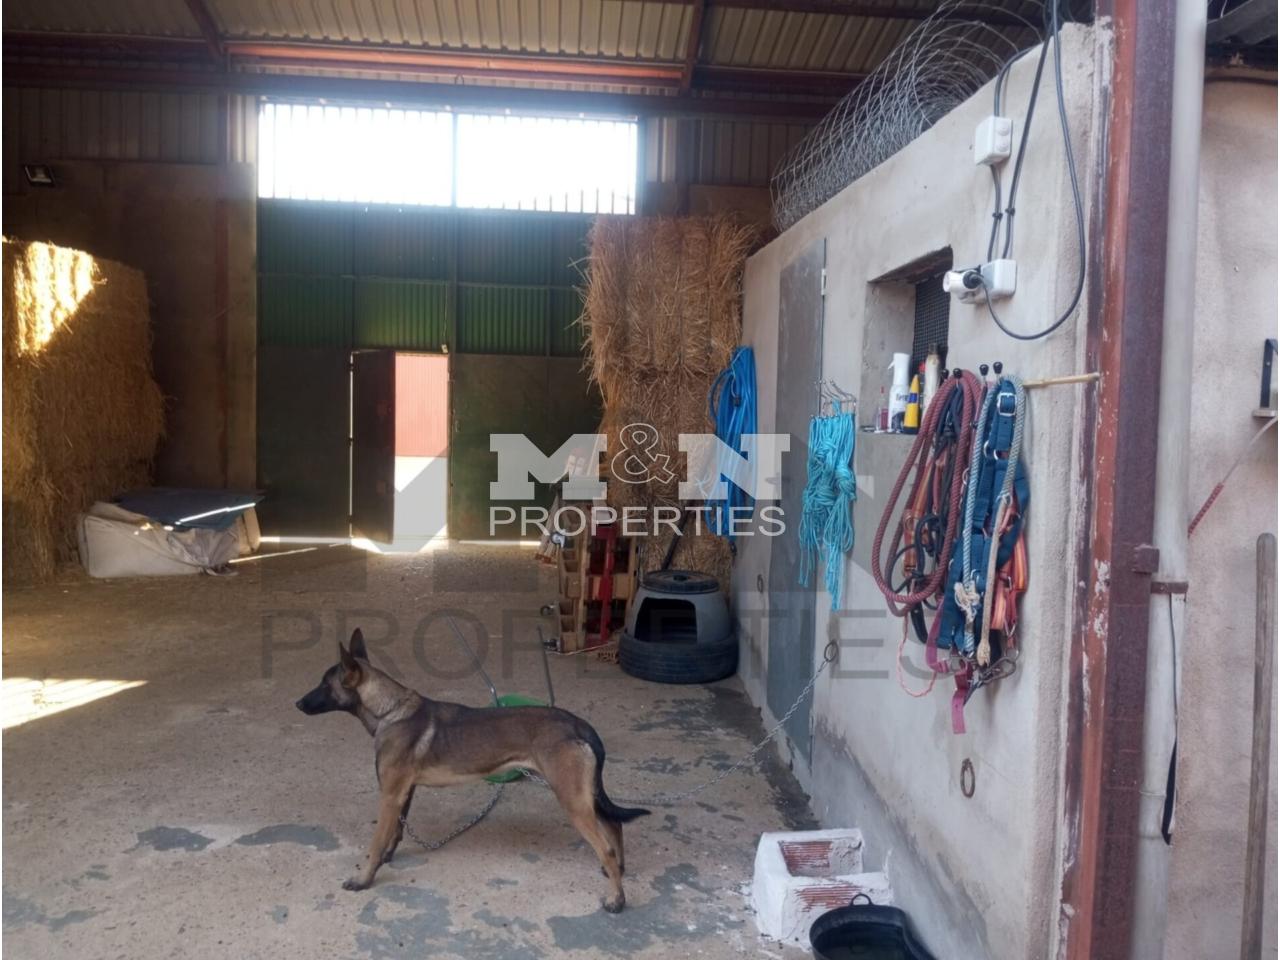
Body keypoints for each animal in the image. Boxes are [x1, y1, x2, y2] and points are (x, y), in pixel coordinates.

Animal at [295, 628, 649, 912]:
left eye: (324, 684)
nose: (297, 704)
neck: (389, 711)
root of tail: (577, 723)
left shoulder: (390, 795)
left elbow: (374, 843)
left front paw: (363, 878)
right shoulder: (405, 792)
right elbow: (394, 832)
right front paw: (386, 857)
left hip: (571, 798)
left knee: (605, 844)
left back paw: (617, 899)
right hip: (583, 794)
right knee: (615, 824)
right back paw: (618, 870)